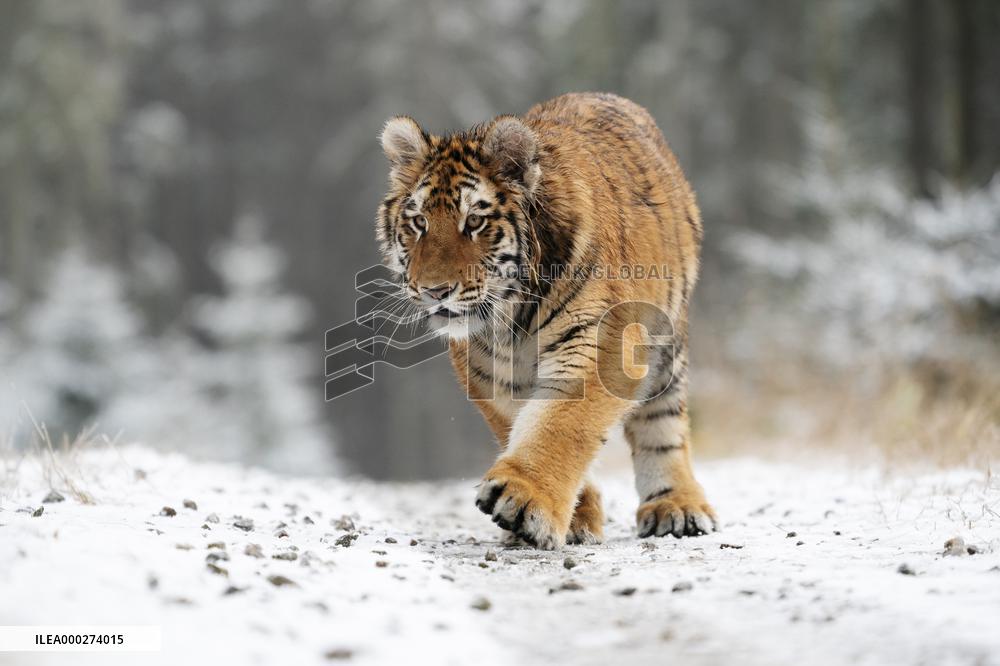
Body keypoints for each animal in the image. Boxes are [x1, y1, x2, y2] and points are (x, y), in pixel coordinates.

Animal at [376, 92, 717, 549]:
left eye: (474, 221)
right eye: (419, 223)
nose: (434, 291)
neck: (509, 316)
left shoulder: (604, 342)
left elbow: (560, 423)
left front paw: (524, 500)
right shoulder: (488, 371)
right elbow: (521, 423)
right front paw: (574, 516)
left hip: (666, 341)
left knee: (663, 425)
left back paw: (676, 507)